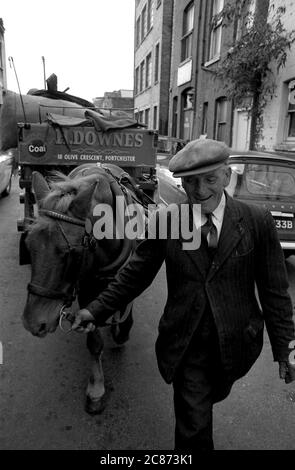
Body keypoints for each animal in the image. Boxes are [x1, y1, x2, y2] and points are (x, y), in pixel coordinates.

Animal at [21, 163, 151, 414]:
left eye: (70, 254)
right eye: (28, 245)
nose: (33, 323)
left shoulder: (131, 268)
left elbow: (125, 302)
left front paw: (121, 328)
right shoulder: (86, 285)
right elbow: (94, 340)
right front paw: (96, 386)